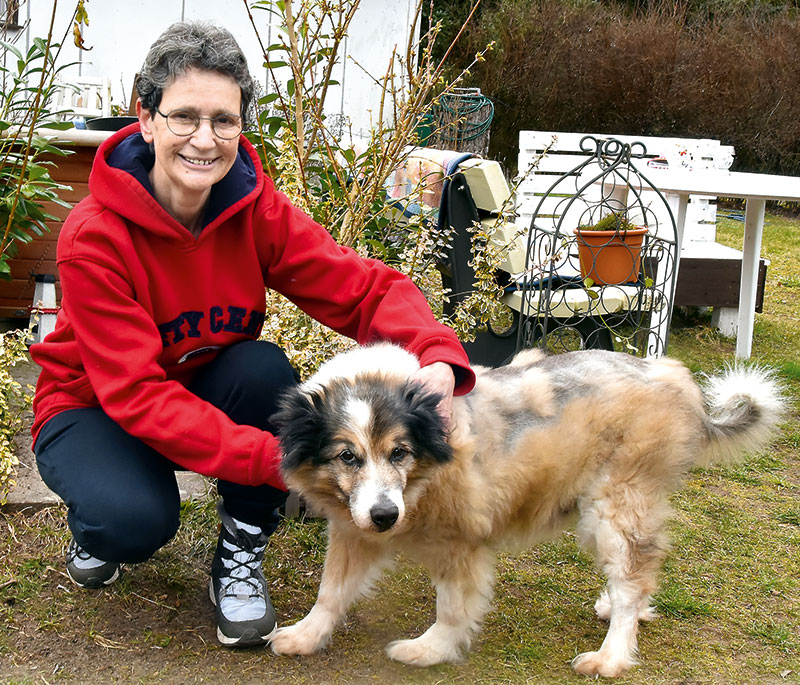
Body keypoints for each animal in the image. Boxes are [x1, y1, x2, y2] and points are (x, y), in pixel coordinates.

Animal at [268, 344, 780, 676]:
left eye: (399, 452)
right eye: (347, 456)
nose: (385, 517)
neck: (423, 476)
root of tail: (673, 377)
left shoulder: (463, 543)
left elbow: (452, 608)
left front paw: (429, 650)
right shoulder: (352, 530)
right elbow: (331, 591)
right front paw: (305, 636)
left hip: (614, 507)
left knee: (632, 580)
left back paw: (611, 656)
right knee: (641, 574)